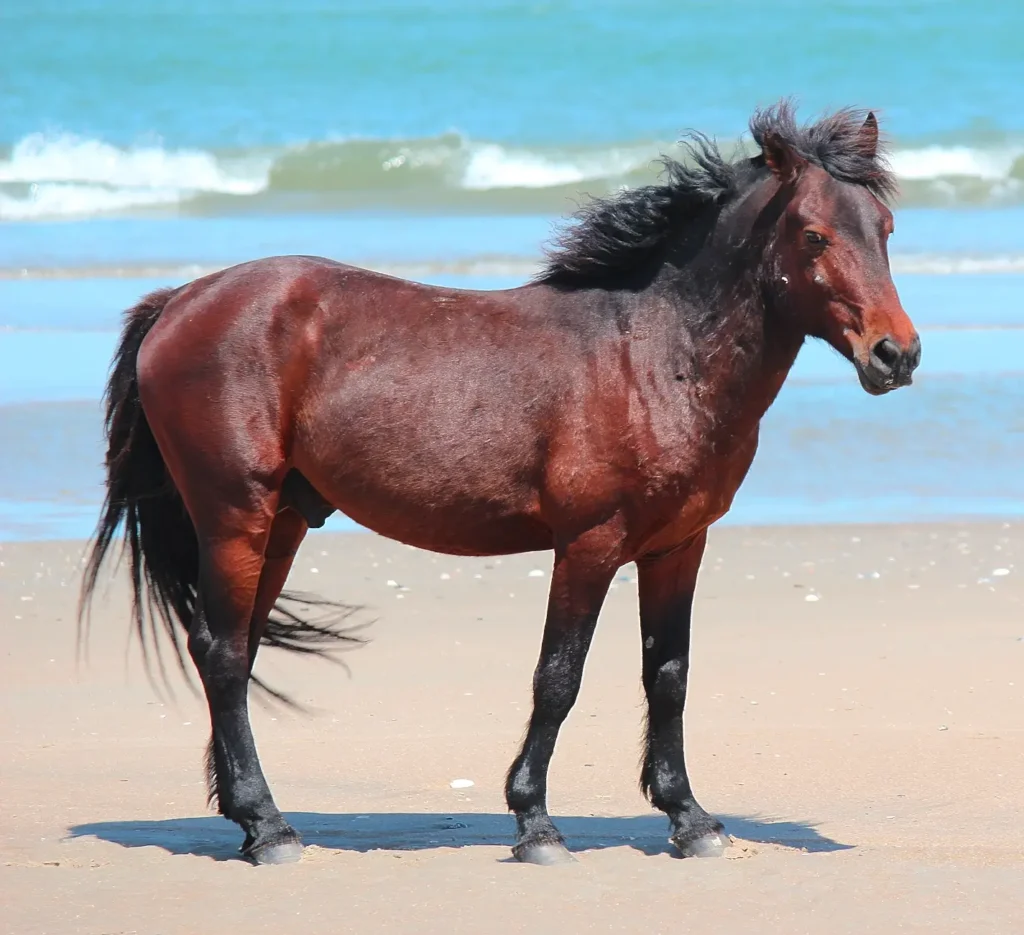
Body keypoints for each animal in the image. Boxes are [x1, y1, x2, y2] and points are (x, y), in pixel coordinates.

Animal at [80, 102, 920, 866]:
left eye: (883, 226)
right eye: (814, 234)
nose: (897, 354)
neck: (651, 352)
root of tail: (179, 302)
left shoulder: (678, 546)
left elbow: (668, 676)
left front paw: (690, 819)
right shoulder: (588, 545)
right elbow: (558, 679)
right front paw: (536, 824)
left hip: (280, 522)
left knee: (238, 648)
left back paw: (245, 813)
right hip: (235, 515)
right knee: (222, 653)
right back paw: (269, 828)